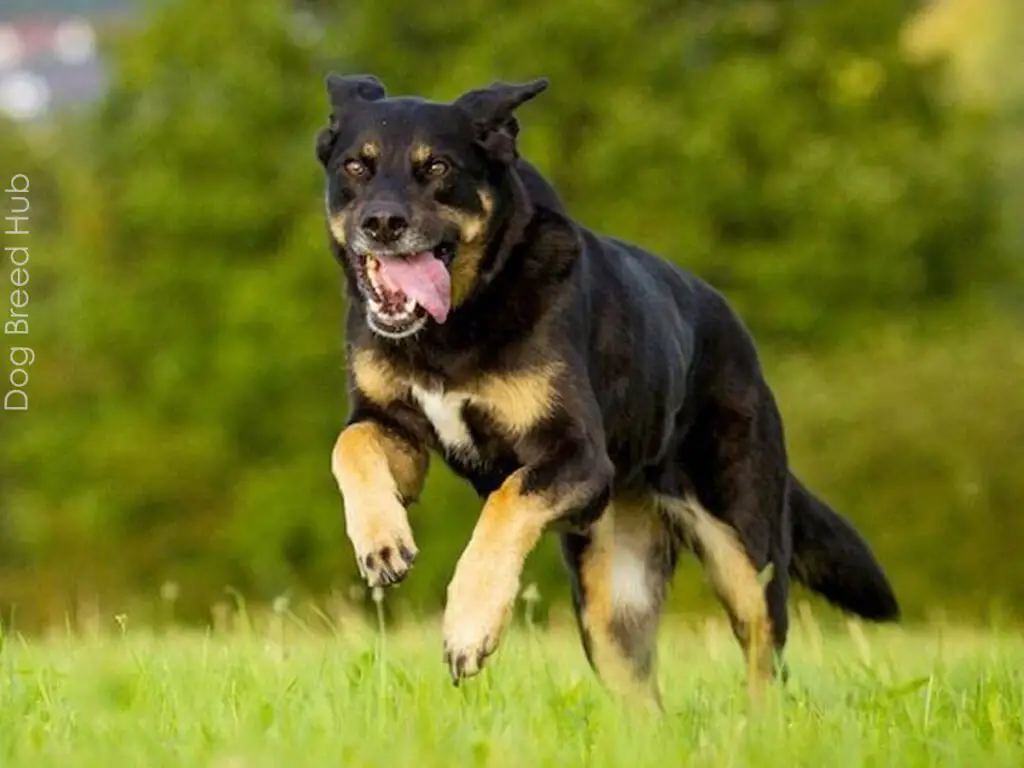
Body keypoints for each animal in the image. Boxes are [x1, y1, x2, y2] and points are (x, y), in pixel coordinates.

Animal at [315, 75, 901, 708]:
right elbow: (350, 446)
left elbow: (505, 501)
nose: (382, 224)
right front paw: (382, 541)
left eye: (438, 167)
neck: (453, 328)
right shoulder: (392, 426)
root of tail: (741, 342)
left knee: (766, 663)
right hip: (613, 611)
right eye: (356, 166)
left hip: (748, 555)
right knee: (645, 702)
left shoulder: (578, 455)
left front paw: (469, 624)